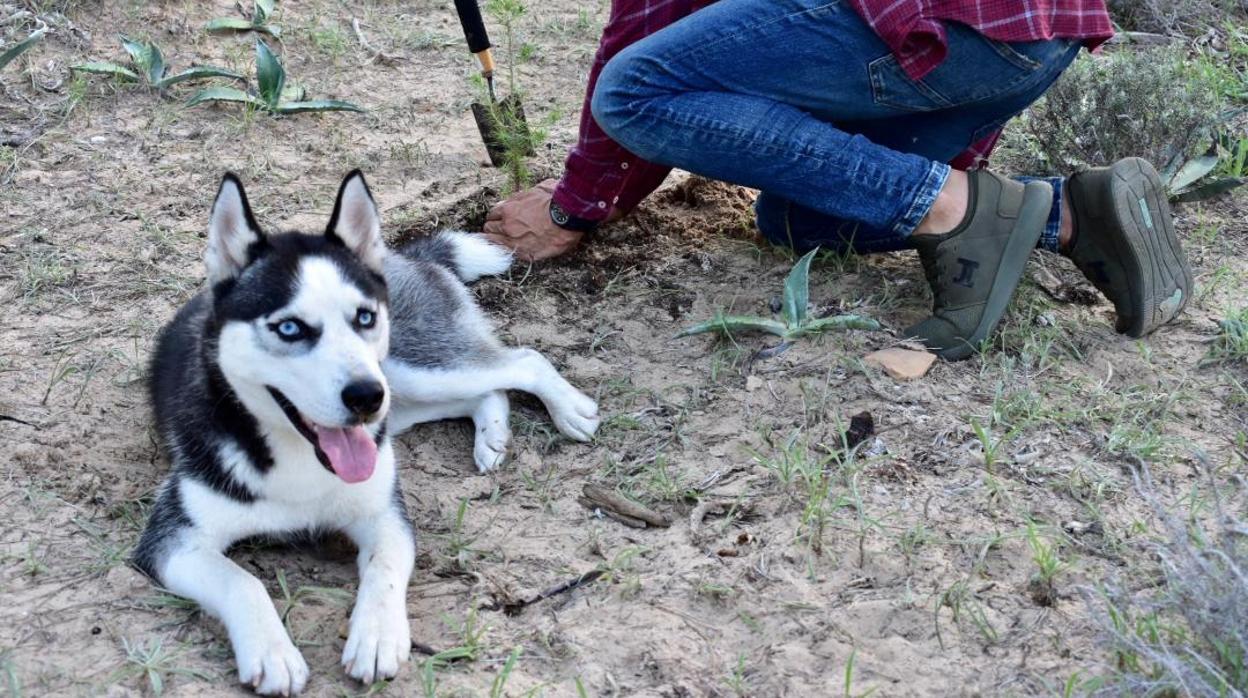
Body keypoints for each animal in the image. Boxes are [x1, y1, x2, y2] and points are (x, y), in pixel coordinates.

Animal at [134, 172, 601, 694]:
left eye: (364, 317)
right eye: (289, 328)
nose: (364, 396)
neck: (301, 459)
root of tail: (403, 254)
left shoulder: (385, 516)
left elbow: (384, 570)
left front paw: (377, 636)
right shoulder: (174, 541)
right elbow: (242, 580)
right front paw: (272, 652)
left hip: (410, 372)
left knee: (522, 360)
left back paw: (568, 409)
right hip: (403, 395)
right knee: (489, 388)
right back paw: (493, 434)